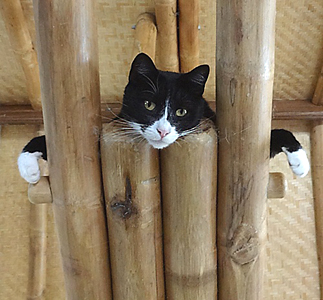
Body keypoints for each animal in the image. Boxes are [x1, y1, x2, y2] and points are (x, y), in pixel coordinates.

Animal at [18, 52, 312, 183]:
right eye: (149, 104)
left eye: (181, 111)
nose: (162, 130)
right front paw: (28, 167)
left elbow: (278, 134)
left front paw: (300, 162)